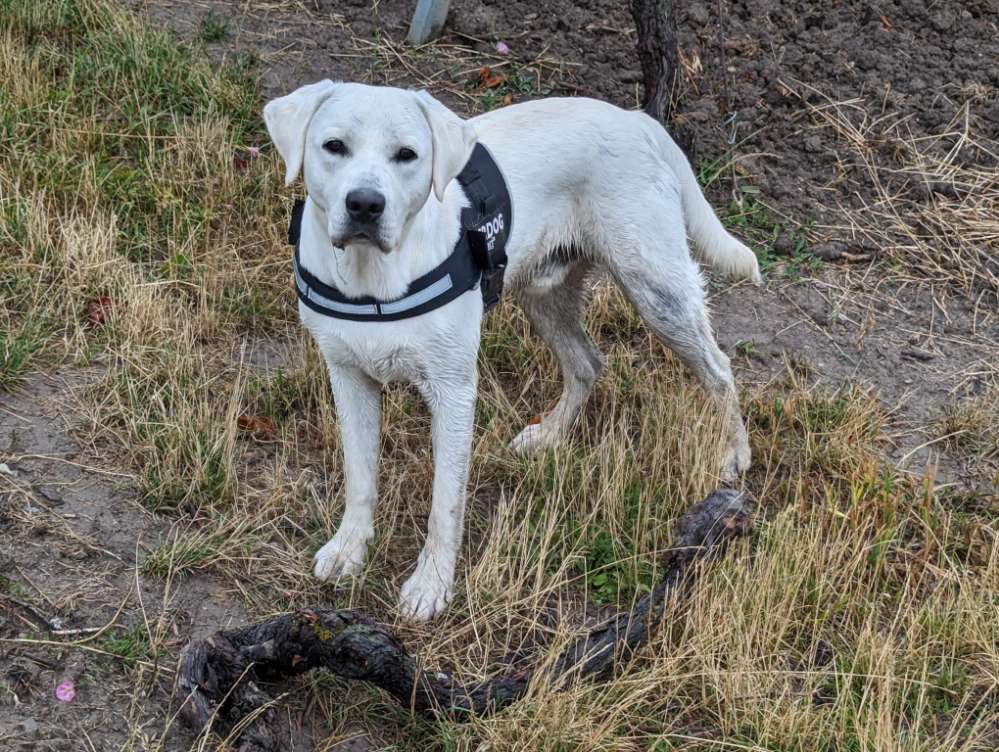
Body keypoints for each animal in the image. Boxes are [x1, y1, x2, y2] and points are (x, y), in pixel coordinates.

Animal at [262, 82, 760, 624]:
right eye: (334, 146)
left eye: (407, 155)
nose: (365, 204)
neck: (372, 277)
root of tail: (637, 119)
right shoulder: (349, 378)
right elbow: (359, 478)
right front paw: (349, 549)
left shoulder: (453, 392)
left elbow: (445, 505)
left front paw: (432, 586)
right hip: (545, 293)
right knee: (587, 363)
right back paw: (548, 436)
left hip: (656, 290)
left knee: (719, 370)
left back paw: (734, 457)